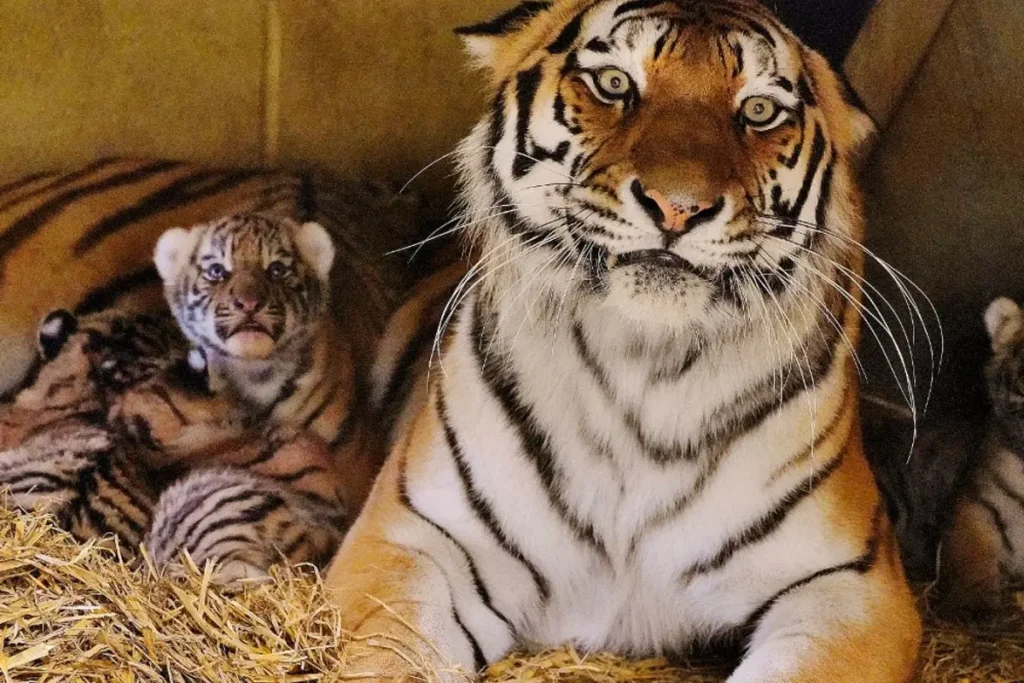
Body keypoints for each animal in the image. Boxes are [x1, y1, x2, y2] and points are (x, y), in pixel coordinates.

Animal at [325, 1, 922, 681]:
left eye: (758, 110)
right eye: (614, 83)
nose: (678, 207)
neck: (644, 366)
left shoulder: (849, 582)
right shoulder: (412, 536)